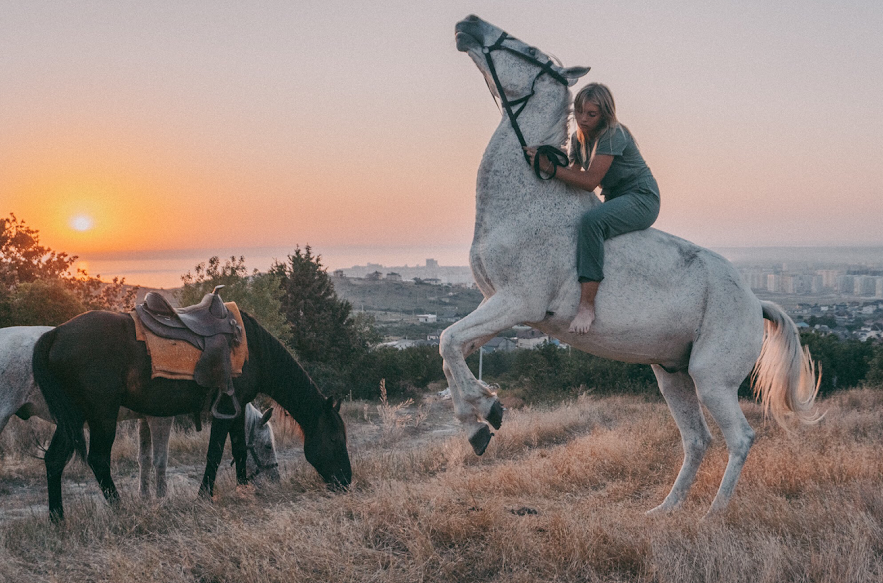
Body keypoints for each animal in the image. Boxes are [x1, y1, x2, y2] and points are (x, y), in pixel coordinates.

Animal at [0, 324, 278, 498]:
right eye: (267, 445)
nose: (275, 478)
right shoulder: (160, 418)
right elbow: (160, 460)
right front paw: (161, 498)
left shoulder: (143, 419)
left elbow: (144, 458)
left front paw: (146, 497)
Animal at [34, 310, 352, 520]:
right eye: (334, 439)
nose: (347, 481)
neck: (253, 351)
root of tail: (54, 335)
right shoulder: (225, 411)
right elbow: (215, 453)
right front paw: (204, 496)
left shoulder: (237, 409)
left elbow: (238, 448)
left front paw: (243, 490)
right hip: (102, 417)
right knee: (98, 460)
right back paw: (120, 509)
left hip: (72, 419)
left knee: (54, 459)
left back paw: (57, 518)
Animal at [442, 14, 820, 516]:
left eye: (532, 51)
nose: (468, 23)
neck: (528, 198)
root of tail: (756, 301)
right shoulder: (499, 307)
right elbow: (453, 349)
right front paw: (479, 420)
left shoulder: (518, 302)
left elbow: (447, 341)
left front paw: (486, 415)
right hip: (673, 377)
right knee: (697, 440)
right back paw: (664, 512)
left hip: (711, 379)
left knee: (740, 438)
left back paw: (712, 515)